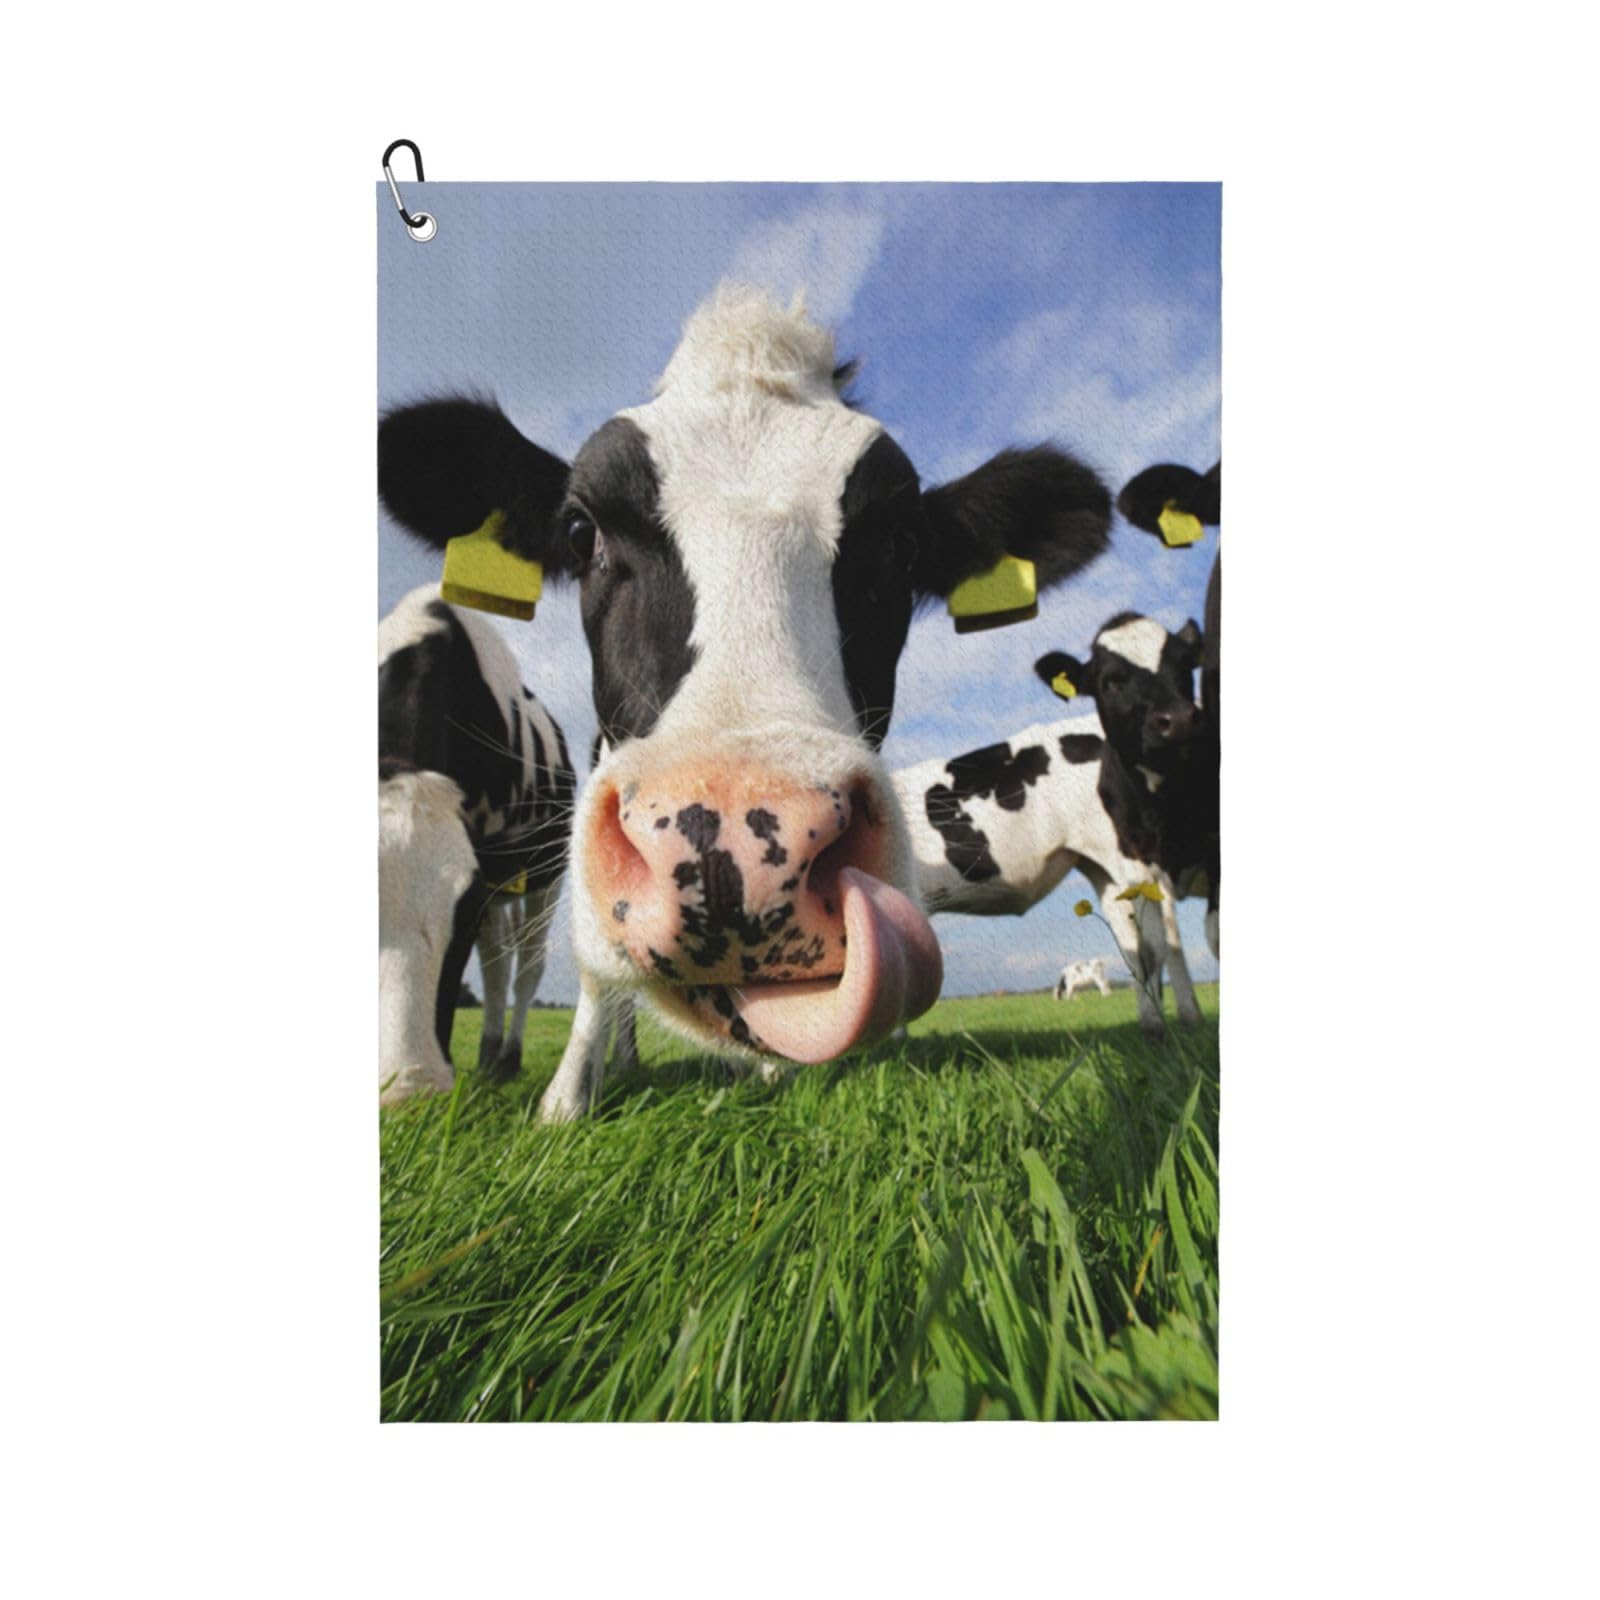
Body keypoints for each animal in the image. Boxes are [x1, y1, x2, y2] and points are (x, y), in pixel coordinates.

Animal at [378, 585, 575, 1103]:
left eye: (461, 917)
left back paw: (507, 1057)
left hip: (547, 877)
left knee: (525, 967)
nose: (409, 1093)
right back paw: (487, 1058)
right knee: (497, 964)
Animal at [1035, 609, 1219, 958]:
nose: (1179, 720)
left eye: (1185, 664)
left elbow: (1215, 933)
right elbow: (1162, 946)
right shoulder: (1141, 870)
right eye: (1111, 682)